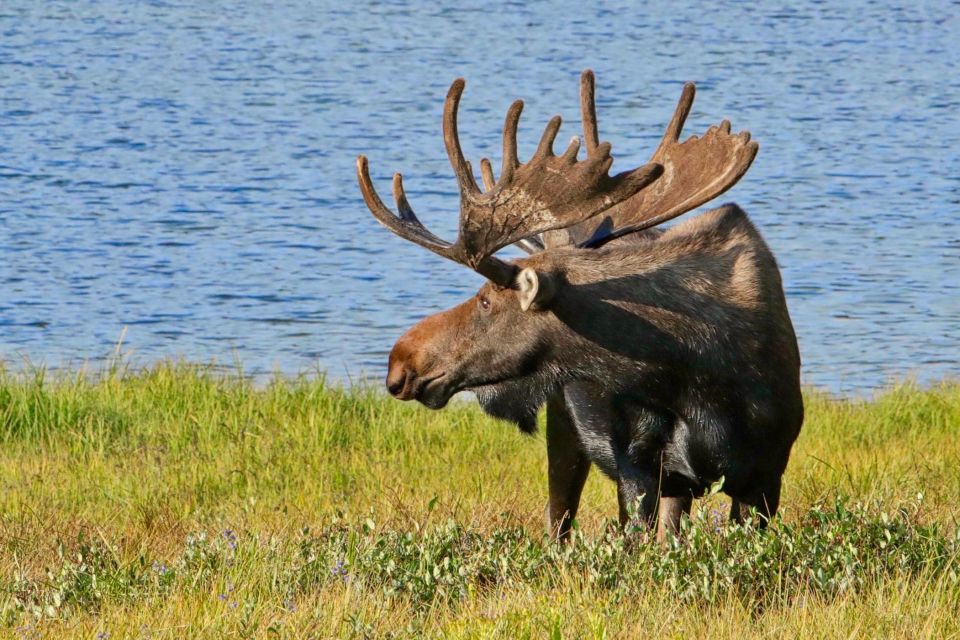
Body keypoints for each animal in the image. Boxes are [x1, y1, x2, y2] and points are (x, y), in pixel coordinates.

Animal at [358, 71, 804, 540]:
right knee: (558, 522)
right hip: (567, 430)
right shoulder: (638, 468)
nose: (400, 363)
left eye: (485, 301)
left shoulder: (765, 474)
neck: (695, 375)